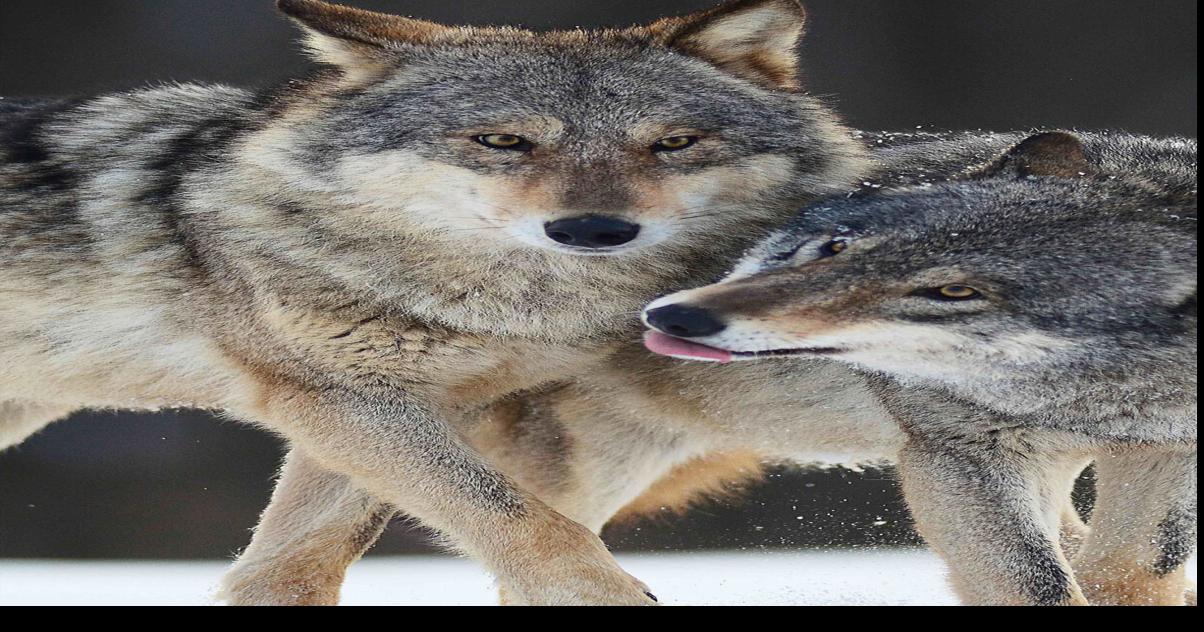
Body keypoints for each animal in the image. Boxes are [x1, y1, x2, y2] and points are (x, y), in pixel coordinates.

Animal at [0, 0, 872, 605]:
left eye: (673, 144)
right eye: (504, 142)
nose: (594, 228)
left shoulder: (369, 412)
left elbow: (285, 570)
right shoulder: (342, 398)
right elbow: (524, 522)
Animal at [638, 130, 1197, 605]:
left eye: (954, 291)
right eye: (834, 248)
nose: (675, 314)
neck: (1106, 401)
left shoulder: (1171, 450)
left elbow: (1131, 568)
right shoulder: (961, 453)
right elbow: (1043, 584)